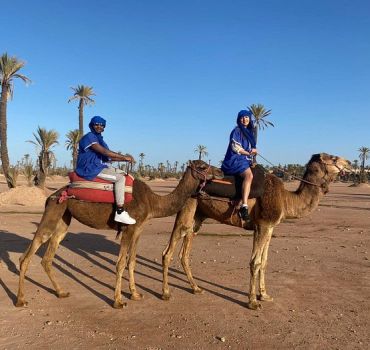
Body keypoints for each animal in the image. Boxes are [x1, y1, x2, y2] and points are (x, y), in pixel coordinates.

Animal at [16, 160, 223, 308]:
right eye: (203, 166)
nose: (220, 171)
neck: (153, 202)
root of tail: (51, 196)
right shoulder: (128, 229)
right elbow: (121, 263)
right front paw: (118, 300)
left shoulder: (138, 229)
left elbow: (132, 261)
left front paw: (136, 294)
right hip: (53, 211)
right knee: (29, 253)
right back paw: (20, 300)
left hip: (63, 218)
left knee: (48, 256)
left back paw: (61, 292)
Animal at [161, 152, 350, 308]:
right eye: (334, 158)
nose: (348, 163)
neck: (286, 199)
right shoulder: (263, 225)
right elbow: (255, 262)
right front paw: (252, 301)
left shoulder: (269, 227)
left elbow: (264, 261)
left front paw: (264, 295)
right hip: (187, 207)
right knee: (167, 252)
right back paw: (166, 293)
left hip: (198, 217)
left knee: (184, 253)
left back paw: (196, 288)